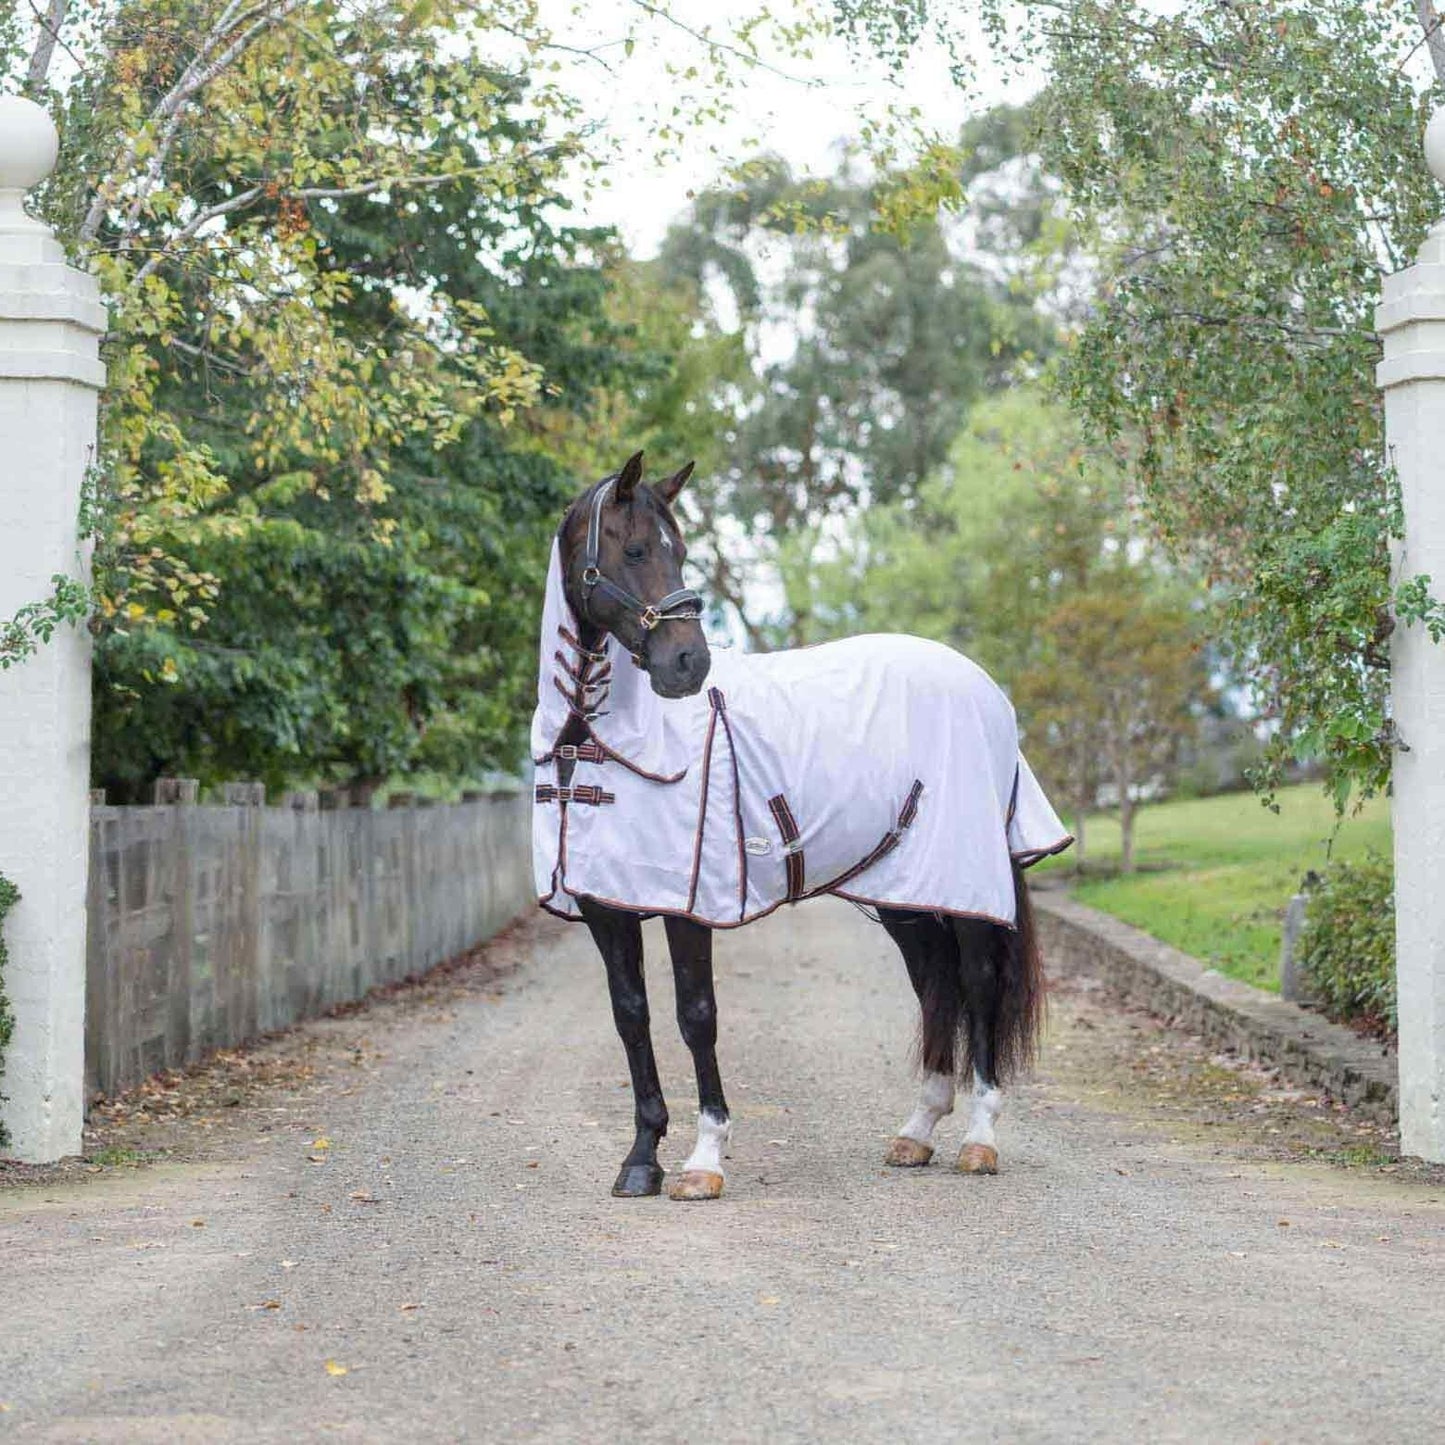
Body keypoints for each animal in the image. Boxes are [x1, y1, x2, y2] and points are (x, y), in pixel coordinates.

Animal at [532, 451, 1073, 1201]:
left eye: (680, 552)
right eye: (635, 548)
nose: (687, 664)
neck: (602, 742)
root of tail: (986, 688)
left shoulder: (688, 903)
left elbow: (696, 1016)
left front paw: (704, 1158)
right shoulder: (605, 903)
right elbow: (631, 1015)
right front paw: (641, 1158)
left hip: (966, 881)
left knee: (977, 981)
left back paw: (979, 1138)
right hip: (904, 890)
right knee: (934, 985)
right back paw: (917, 1131)